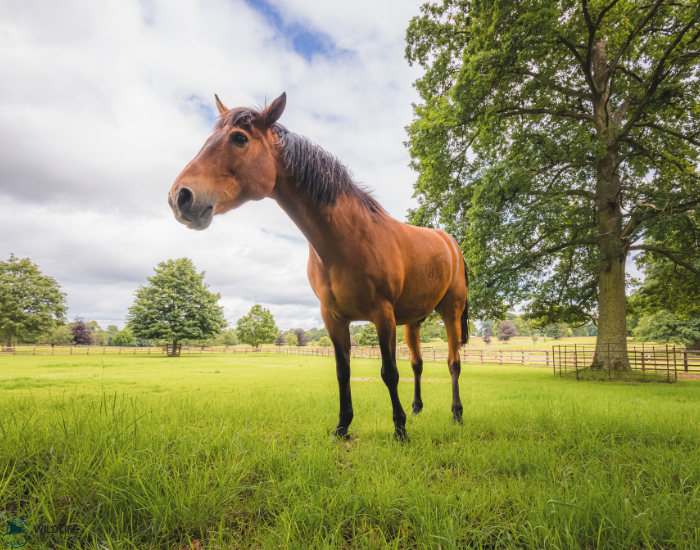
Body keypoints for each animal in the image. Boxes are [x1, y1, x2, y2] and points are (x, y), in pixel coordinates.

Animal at [168, 93, 469, 440]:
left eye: (239, 138)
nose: (180, 197)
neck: (348, 239)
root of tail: (449, 242)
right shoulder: (334, 318)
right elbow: (343, 371)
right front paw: (342, 427)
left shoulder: (383, 316)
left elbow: (389, 372)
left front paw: (399, 429)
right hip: (413, 322)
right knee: (418, 363)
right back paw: (418, 408)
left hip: (450, 311)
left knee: (453, 362)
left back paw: (456, 413)